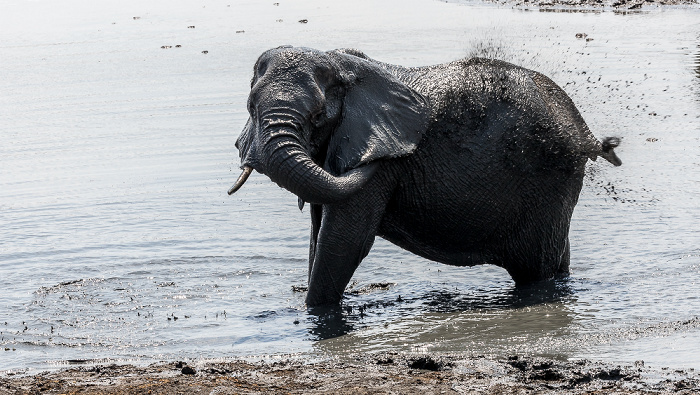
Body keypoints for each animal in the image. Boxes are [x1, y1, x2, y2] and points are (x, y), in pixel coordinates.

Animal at [227, 45, 620, 306]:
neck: (341, 66)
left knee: (536, 270)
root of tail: (583, 130)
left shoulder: (379, 164)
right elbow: (318, 233)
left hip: (549, 182)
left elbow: (343, 241)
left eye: (319, 116)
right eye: (250, 107)